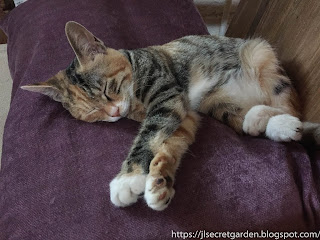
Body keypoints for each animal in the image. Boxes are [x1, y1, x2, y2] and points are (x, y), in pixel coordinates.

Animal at [22, 21, 320, 211]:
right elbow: (171, 142)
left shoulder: (167, 98)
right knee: (244, 120)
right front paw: (159, 181)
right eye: (93, 114)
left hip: (259, 54)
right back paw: (259, 119)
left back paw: (281, 122)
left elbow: (148, 135)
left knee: (291, 108)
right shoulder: (184, 113)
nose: (114, 113)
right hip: (215, 101)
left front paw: (127, 180)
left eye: (107, 89)